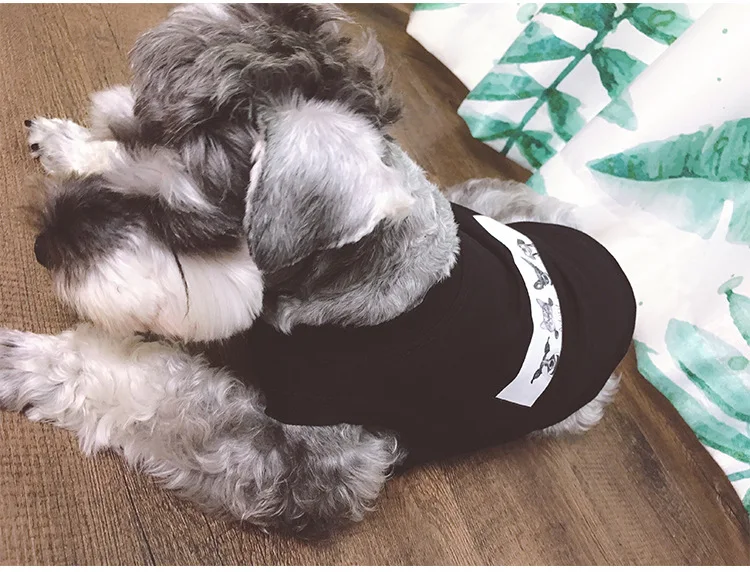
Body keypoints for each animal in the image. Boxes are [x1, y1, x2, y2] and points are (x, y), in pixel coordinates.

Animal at [0, 4, 635, 535]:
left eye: (182, 220)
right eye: (118, 131)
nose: (43, 249)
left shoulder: (314, 466)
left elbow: (166, 394)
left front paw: (32, 360)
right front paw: (69, 143)